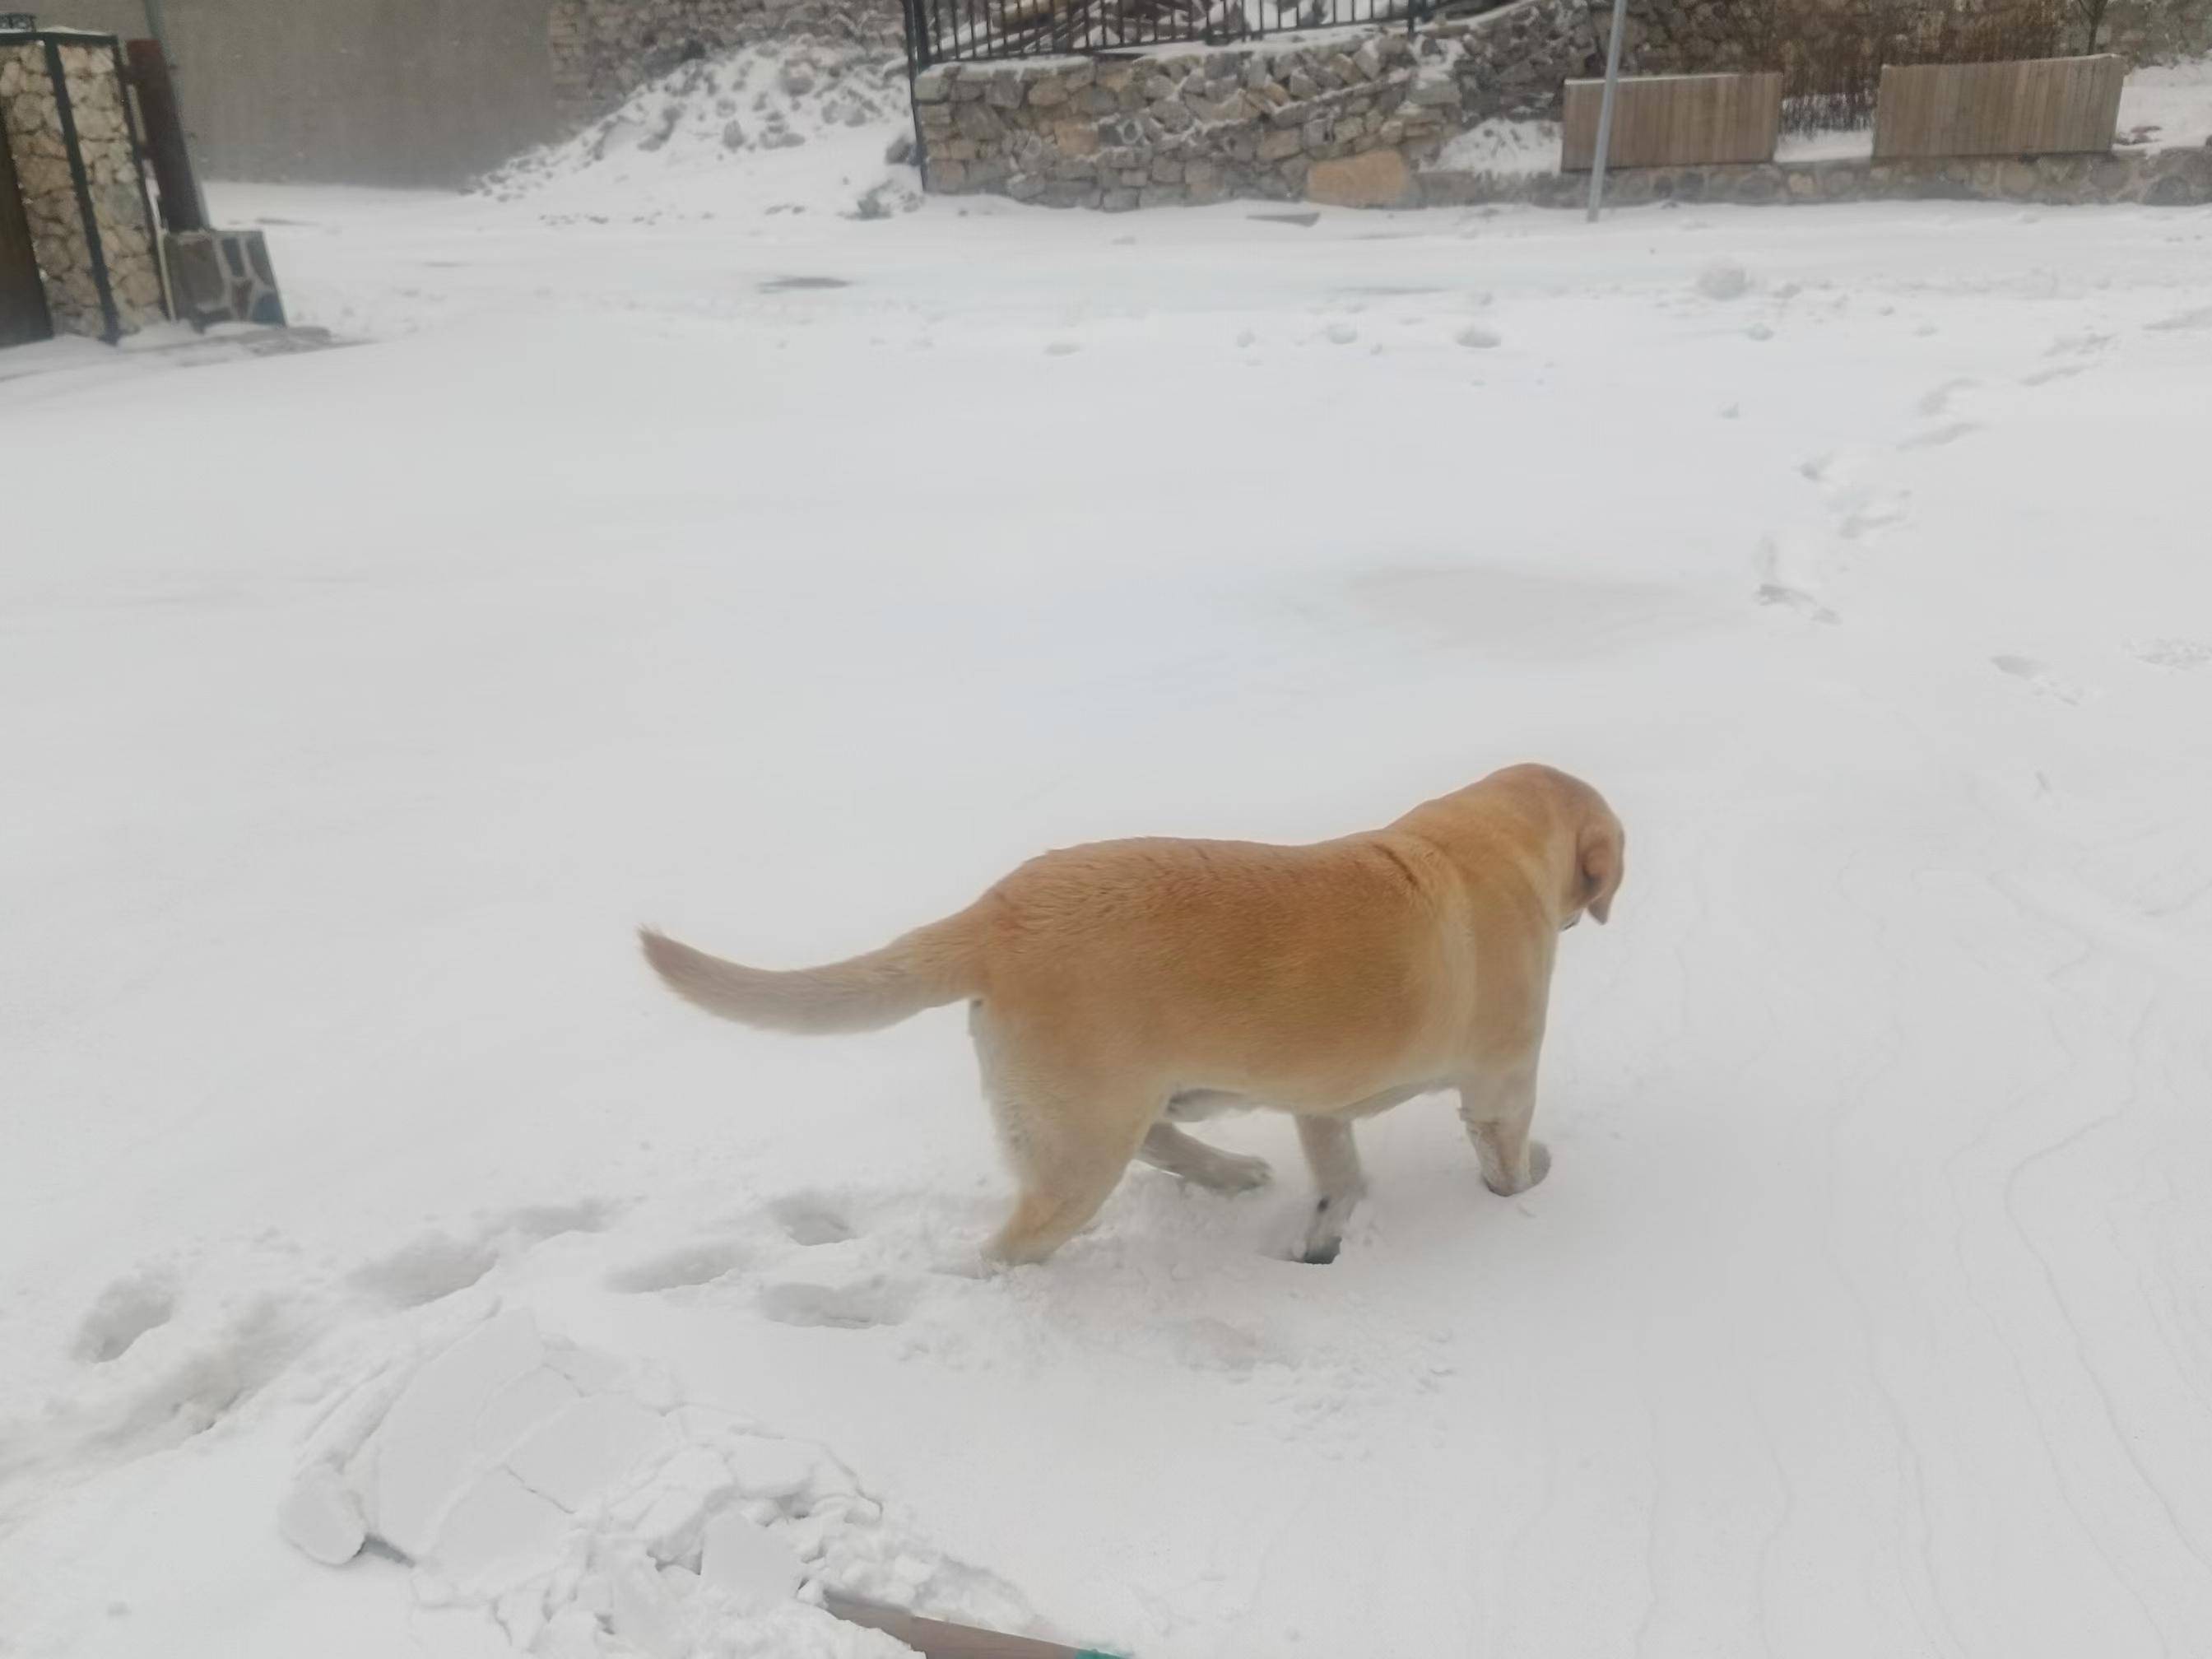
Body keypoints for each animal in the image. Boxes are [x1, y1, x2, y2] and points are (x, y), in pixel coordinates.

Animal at [641, 765, 1628, 1274]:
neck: (1486, 839)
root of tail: (995, 914)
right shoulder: (1501, 1084)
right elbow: (1505, 1156)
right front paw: (1532, 1185)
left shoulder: (1320, 1101)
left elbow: (1339, 1175)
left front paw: (1322, 1234)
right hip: (1079, 1146)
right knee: (1008, 1246)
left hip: (1103, 1108)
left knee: (1160, 1138)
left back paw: (1227, 1170)